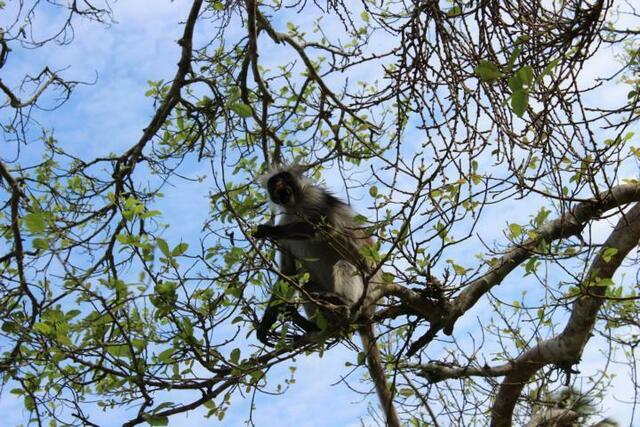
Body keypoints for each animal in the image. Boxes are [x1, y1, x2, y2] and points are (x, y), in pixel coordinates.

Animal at [253, 165, 401, 427]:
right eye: (273, 183)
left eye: (285, 178)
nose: (280, 186)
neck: (295, 207)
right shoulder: (287, 218)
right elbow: (287, 275)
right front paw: (266, 322)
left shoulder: (315, 197)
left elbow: (326, 226)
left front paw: (270, 229)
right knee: (307, 284)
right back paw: (314, 324)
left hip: (369, 286)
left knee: (345, 263)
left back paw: (343, 305)